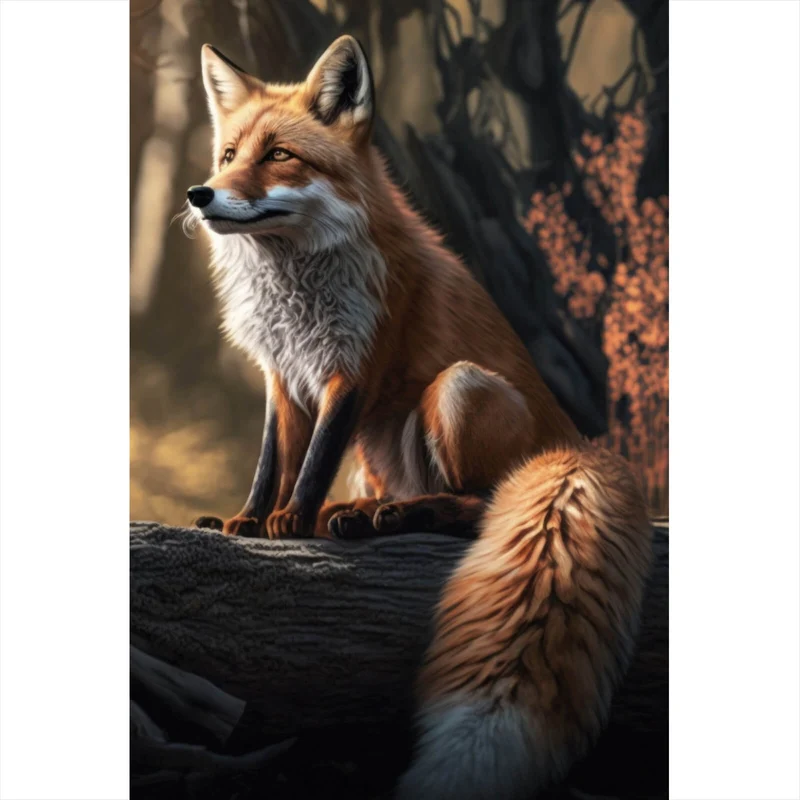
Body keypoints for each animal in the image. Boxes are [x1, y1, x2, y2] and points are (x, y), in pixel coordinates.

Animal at [186, 36, 653, 800]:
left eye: (280, 155)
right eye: (227, 155)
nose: (200, 194)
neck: (296, 281)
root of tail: (577, 442)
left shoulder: (355, 368)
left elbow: (312, 463)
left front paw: (291, 523)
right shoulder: (283, 377)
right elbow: (271, 462)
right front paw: (249, 521)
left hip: (454, 389)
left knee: (476, 502)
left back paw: (391, 518)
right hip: (384, 446)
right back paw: (361, 515)